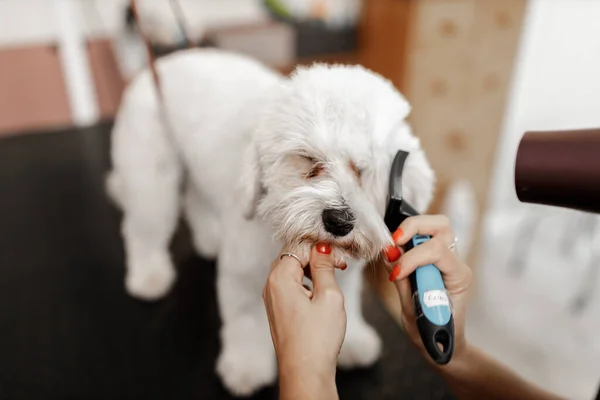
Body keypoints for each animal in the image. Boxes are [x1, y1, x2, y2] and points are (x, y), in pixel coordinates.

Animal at [108, 48, 434, 396]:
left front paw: (354, 342)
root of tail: (158, 66)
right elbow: (247, 322)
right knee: (144, 228)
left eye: (364, 171)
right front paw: (246, 367)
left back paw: (209, 238)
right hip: (151, 178)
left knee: (195, 200)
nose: (338, 220)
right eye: (309, 160)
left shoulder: (343, 273)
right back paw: (148, 276)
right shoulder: (245, 272)